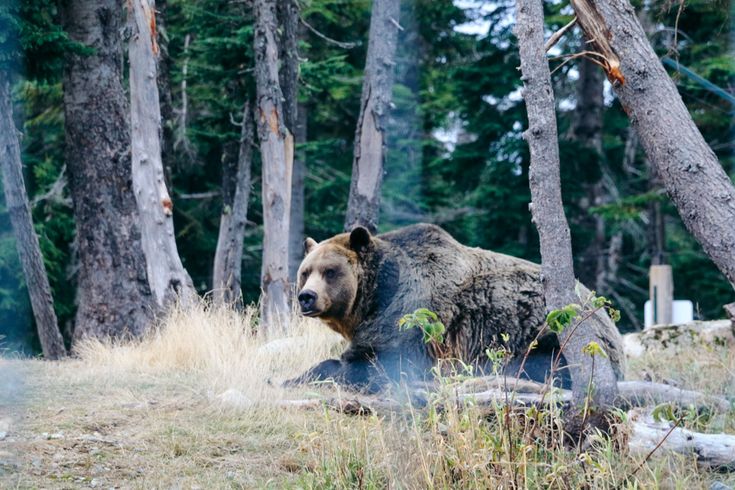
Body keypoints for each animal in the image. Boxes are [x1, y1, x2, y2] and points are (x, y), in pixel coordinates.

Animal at [287, 223, 624, 393]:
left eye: (330, 271)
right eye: (305, 271)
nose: (307, 297)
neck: (374, 297)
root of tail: (604, 312)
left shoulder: (408, 320)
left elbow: (371, 363)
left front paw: (293, 377)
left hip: (550, 332)